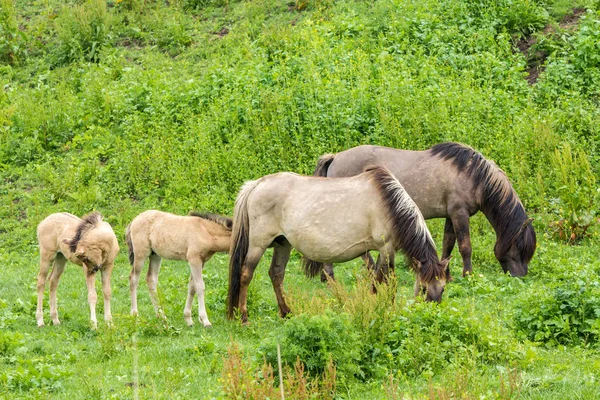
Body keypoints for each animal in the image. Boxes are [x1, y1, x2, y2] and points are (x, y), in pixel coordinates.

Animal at [227, 166, 448, 324]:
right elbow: (384, 282)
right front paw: (380, 308)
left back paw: (286, 312)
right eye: (424, 289)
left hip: (283, 244)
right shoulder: (386, 249)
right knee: (246, 274)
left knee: (276, 274)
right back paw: (244, 317)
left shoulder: (384, 250)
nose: (432, 315)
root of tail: (257, 184)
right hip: (258, 244)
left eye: (443, 289)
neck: (389, 204)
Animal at [314, 142, 536, 280]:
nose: (521, 276)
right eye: (519, 249)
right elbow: (465, 247)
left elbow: (448, 246)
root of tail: (335, 157)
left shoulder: (450, 216)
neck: (474, 176)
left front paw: (448, 274)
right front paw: (468, 275)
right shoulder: (460, 214)